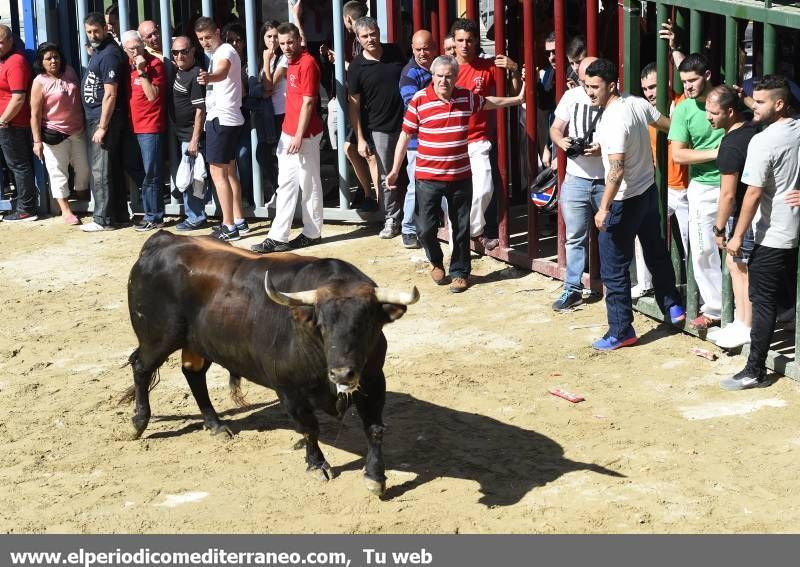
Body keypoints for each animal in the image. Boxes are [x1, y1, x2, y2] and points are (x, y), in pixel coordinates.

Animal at [122, 232, 418, 496]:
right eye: (322, 324)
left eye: (368, 323)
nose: (342, 374)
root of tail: (162, 240)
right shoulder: (289, 390)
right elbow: (309, 427)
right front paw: (317, 465)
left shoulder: (374, 381)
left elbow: (375, 429)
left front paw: (375, 477)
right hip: (158, 338)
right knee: (141, 367)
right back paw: (138, 422)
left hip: (197, 343)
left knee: (193, 373)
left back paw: (215, 425)